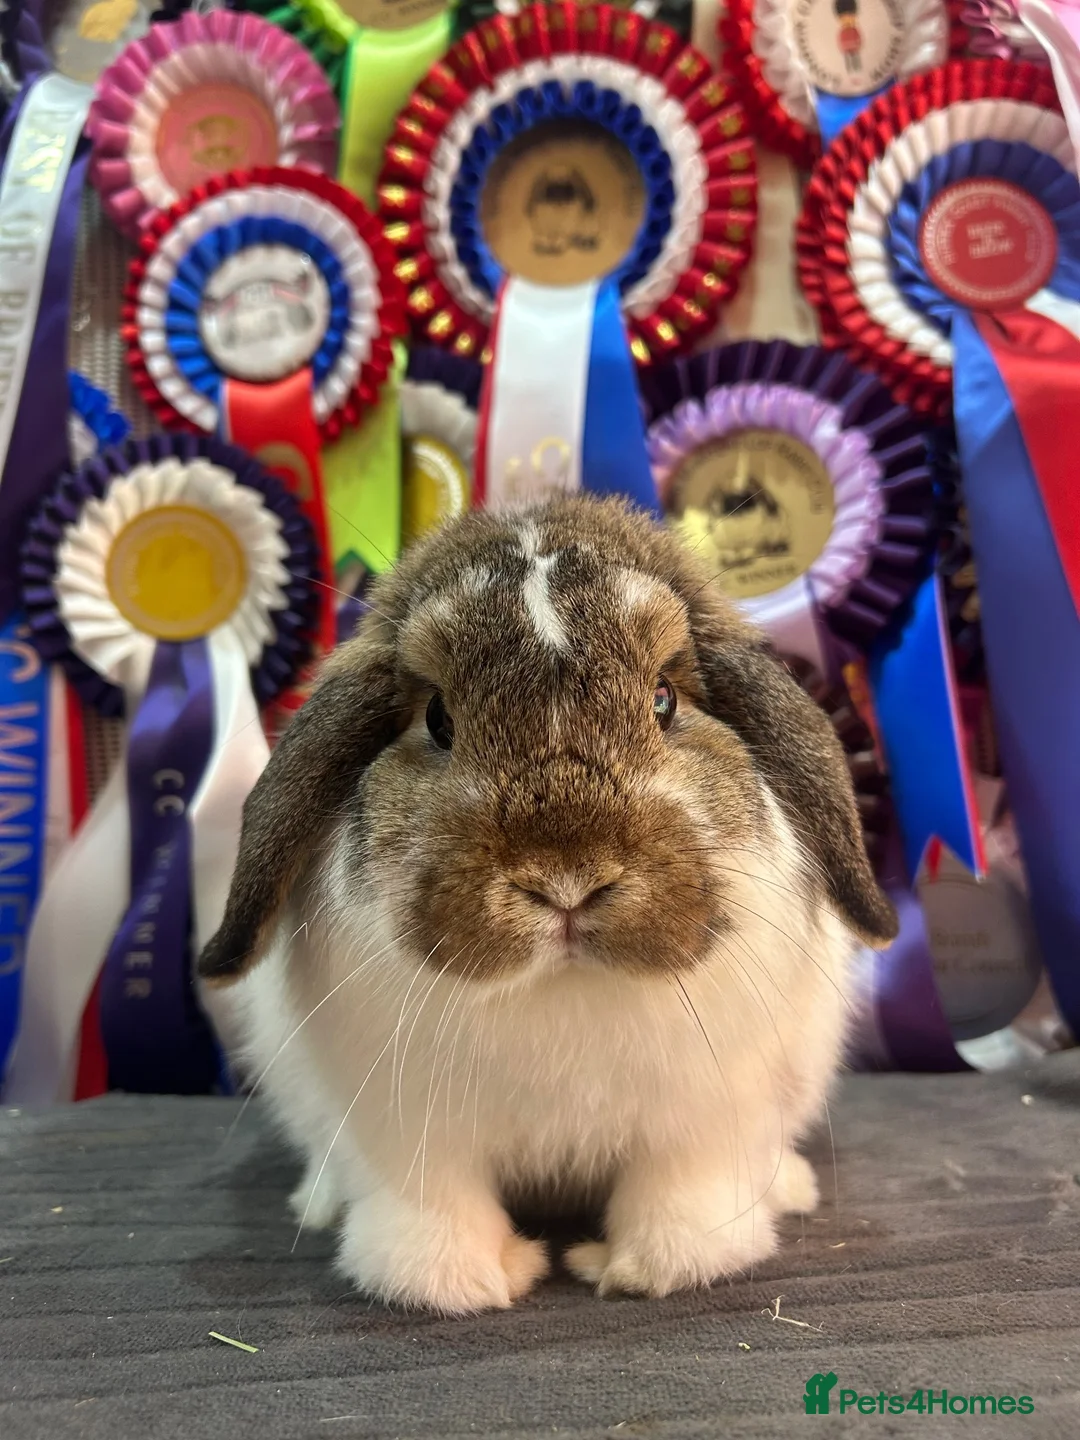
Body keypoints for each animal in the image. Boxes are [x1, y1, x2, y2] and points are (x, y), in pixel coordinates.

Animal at [199, 496, 897, 1315]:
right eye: (438, 718)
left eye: (663, 701)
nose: (567, 878)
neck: (564, 986)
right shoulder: (409, 1136)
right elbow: (434, 1206)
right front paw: (460, 1283)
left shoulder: (702, 1126)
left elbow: (678, 1200)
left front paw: (649, 1268)